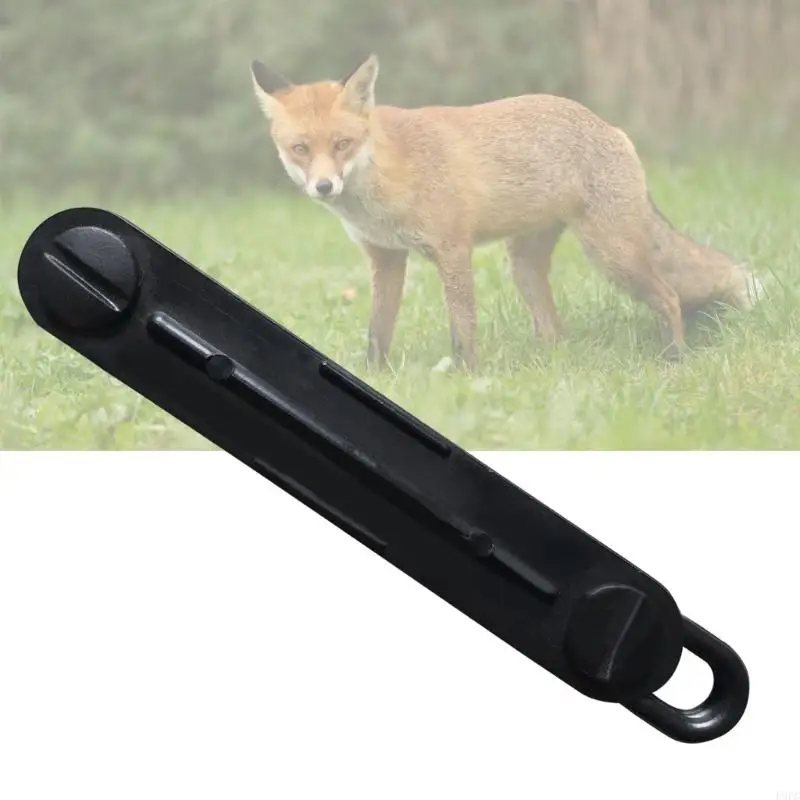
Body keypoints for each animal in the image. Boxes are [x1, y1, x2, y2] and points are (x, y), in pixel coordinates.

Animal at [249, 53, 762, 370]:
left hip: (612, 255)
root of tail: (610, 127)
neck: (383, 184)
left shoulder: (452, 249)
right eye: (300, 149)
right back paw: (552, 365)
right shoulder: (387, 258)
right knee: (555, 330)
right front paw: (376, 377)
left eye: (341, 144)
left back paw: (673, 360)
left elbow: (463, 328)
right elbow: (378, 332)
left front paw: (466, 375)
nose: (323, 186)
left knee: (669, 296)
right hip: (524, 266)